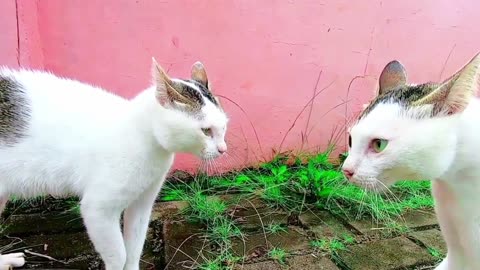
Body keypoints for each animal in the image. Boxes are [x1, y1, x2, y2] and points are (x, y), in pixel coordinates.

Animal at [0, 59, 229, 270]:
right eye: (206, 130)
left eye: (224, 127)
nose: (223, 149)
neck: (147, 141)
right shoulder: (98, 209)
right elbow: (119, 255)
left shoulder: (142, 204)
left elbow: (134, 249)